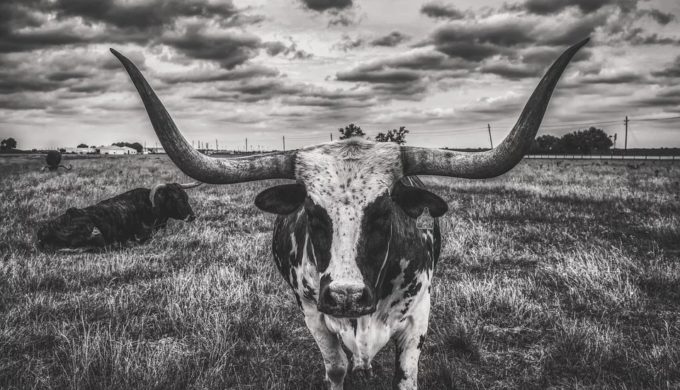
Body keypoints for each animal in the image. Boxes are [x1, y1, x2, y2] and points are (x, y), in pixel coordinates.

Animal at [36, 182, 201, 251]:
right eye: (175, 199)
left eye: (186, 197)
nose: (192, 216)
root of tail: (43, 230)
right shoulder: (142, 234)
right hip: (93, 230)